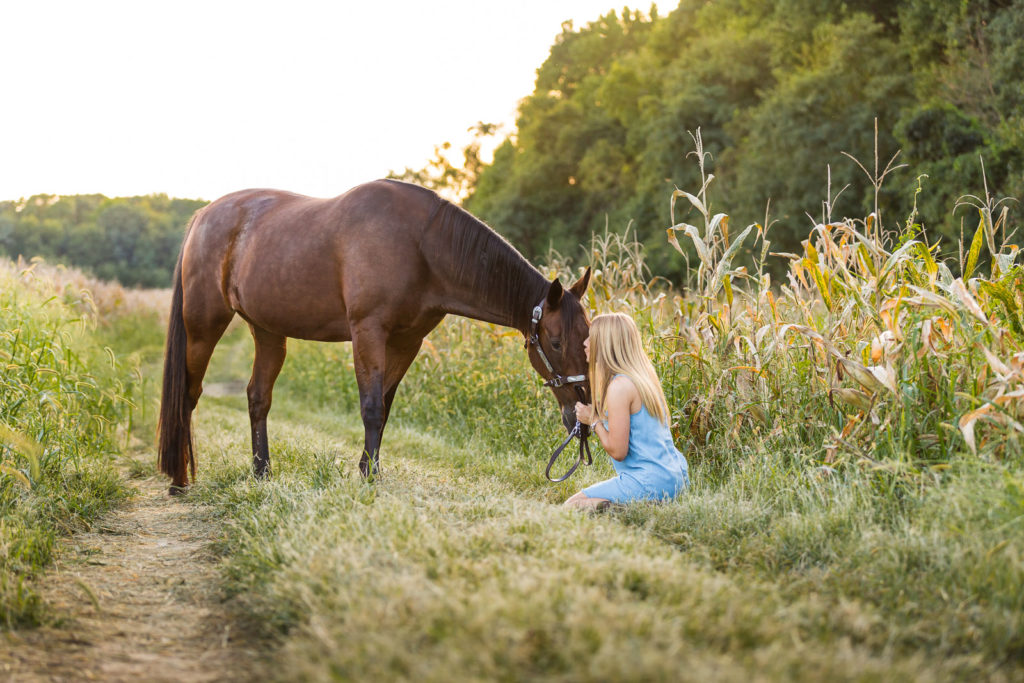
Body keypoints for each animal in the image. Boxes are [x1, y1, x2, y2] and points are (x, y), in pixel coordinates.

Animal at [158, 179, 593, 493]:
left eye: (587, 339)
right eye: (555, 343)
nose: (582, 417)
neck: (421, 246)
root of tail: (203, 215)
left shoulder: (406, 342)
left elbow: (384, 406)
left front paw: (369, 469)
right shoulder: (368, 332)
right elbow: (370, 407)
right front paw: (370, 477)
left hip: (267, 332)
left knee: (257, 398)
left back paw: (261, 473)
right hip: (203, 325)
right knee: (189, 393)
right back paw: (179, 480)